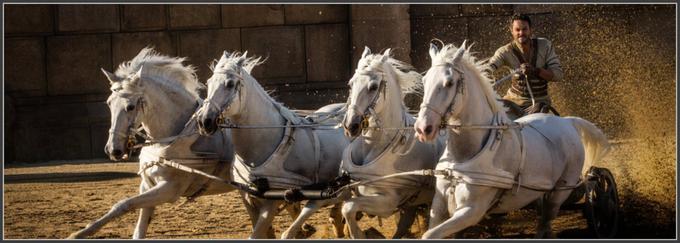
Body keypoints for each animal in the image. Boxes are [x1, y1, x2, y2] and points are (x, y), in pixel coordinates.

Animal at [68, 48, 298, 239]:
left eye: (131, 106)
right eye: (109, 103)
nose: (113, 149)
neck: (170, 139)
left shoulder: (169, 190)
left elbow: (123, 204)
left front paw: (78, 234)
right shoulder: (147, 184)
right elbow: (137, 225)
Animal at [340, 47, 446, 237]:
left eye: (373, 87)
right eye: (351, 83)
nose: (351, 126)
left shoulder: (387, 202)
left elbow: (349, 208)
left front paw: (359, 234)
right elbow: (344, 206)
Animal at [414, 41, 612, 237]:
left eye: (449, 83)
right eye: (424, 81)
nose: (423, 128)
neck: (464, 155)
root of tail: (567, 122)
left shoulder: (472, 211)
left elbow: (430, 234)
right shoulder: (439, 204)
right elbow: (432, 230)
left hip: (560, 191)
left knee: (546, 223)